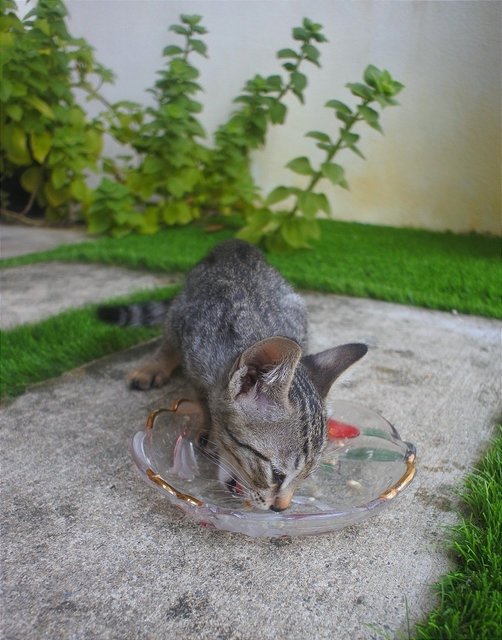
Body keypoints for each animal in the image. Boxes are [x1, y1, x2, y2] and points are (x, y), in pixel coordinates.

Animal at [98, 238, 366, 512]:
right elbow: (203, 397)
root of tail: (234, 242)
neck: (257, 330)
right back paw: (155, 364)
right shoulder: (192, 344)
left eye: (307, 476)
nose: (281, 508)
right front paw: (208, 423)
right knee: (168, 334)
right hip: (181, 309)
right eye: (277, 474)